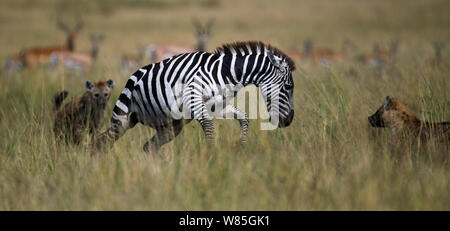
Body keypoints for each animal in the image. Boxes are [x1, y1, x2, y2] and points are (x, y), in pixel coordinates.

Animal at [94, 41, 296, 153]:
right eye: (288, 87)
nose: (289, 121)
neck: (224, 73)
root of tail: (133, 75)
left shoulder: (218, 106)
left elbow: (244, 118)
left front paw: (241, 147)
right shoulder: (194, 102)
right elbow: (210, 128)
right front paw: (210, 156)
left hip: (170, 127)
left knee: (147, 147)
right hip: (122, 119)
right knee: (104, 141)